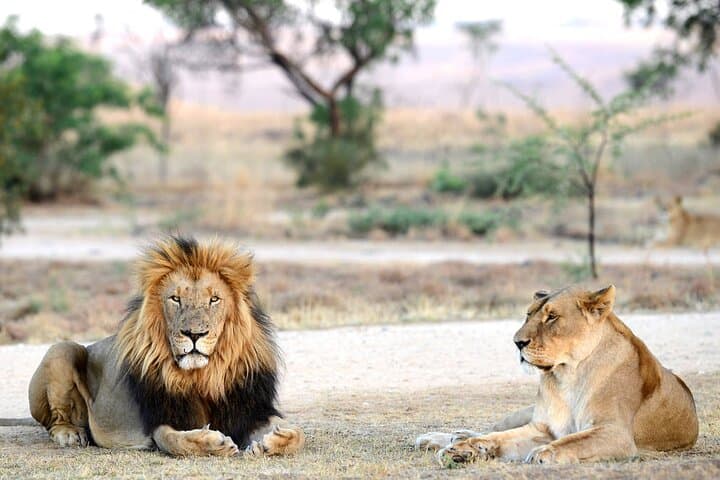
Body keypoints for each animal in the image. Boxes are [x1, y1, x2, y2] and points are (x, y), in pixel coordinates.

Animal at [26, 236, 305, 457]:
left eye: (214, 299)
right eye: (175, 299)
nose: (194, 334)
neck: (205, 376)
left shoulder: (249, 408)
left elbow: (299, 433)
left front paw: (277, 439)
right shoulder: (161, 419)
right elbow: (175, 440)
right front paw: (213, 442)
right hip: (62, 349)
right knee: (55, 419)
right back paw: (70, 433)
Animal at [416, 285, 698, 464]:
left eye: (551, 317)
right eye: (528, 314)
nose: (517, 342)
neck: (567, 376)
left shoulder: (616, 433)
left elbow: (574, 442)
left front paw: (545, 453)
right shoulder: (540, 426)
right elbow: (497, 436)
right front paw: (462, 449)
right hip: (524, 412)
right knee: (490, 428)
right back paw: (443, 438)